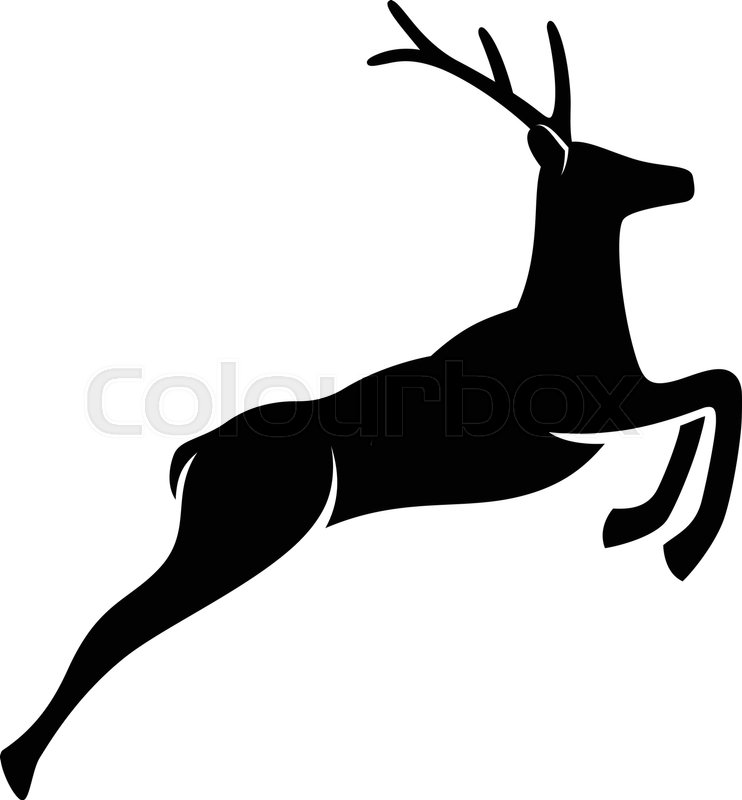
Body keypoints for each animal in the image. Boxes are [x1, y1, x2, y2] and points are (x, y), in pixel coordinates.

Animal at [2, 3, 740, 797]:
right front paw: (680, 545)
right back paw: (22, 765)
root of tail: (189, 458)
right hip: (247, 527)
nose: (685, 176)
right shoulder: (588, 409)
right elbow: (718, 389)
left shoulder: (615, 411)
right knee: (115, 622)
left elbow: (704, 402)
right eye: (605, 162)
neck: (573, 321)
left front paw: (635, 523)